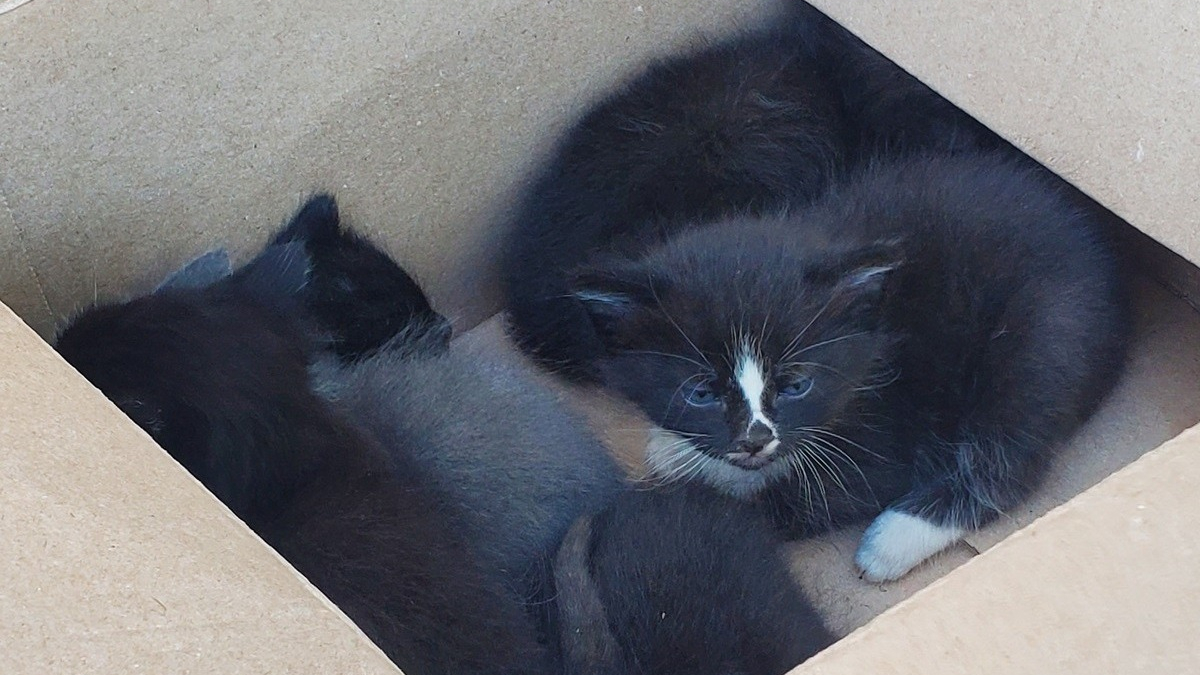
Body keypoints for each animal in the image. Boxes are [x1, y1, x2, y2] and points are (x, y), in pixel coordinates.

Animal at [566, 151, 1128, 578]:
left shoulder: (896, 417)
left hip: (1045, 336)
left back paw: (893, 540)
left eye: (796, 385)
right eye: (700, 393)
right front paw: (679, 446)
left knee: (1008, 456)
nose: (755, 438)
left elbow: (824, 492)